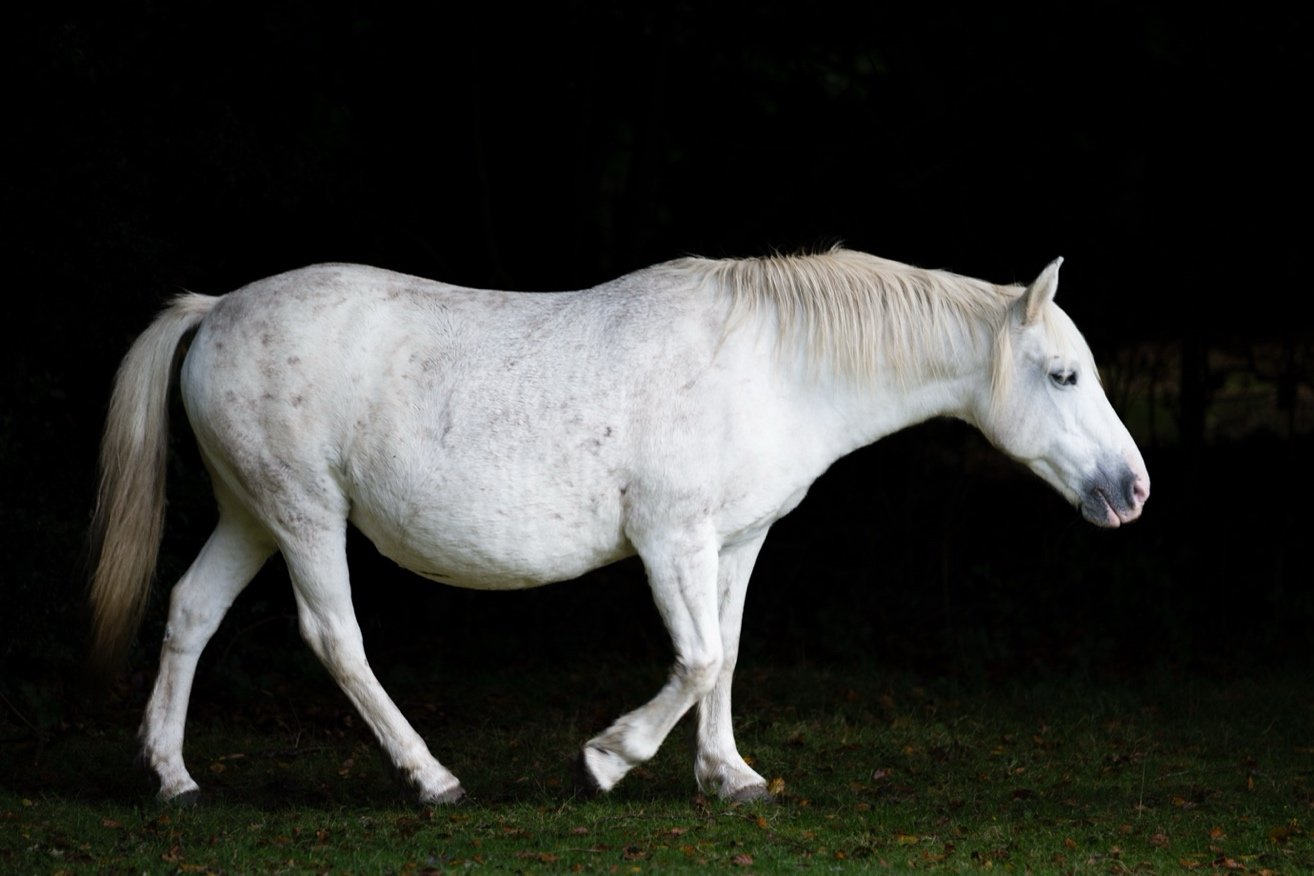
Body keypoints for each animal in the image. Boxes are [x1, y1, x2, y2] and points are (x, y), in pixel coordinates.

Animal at [89, 248, 1148, 804]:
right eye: (1064, 376)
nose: (1134, 490)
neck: (770, 369)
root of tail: (217, 308)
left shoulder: (734, 543)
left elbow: (727, 653)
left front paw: (728, 775)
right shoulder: (671, 541)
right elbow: (698, 659)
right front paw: (609, 757)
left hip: (251, 516)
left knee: (190, 614)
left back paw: (172, 776)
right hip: (304, 516)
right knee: (335, 639)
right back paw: (431, 777)